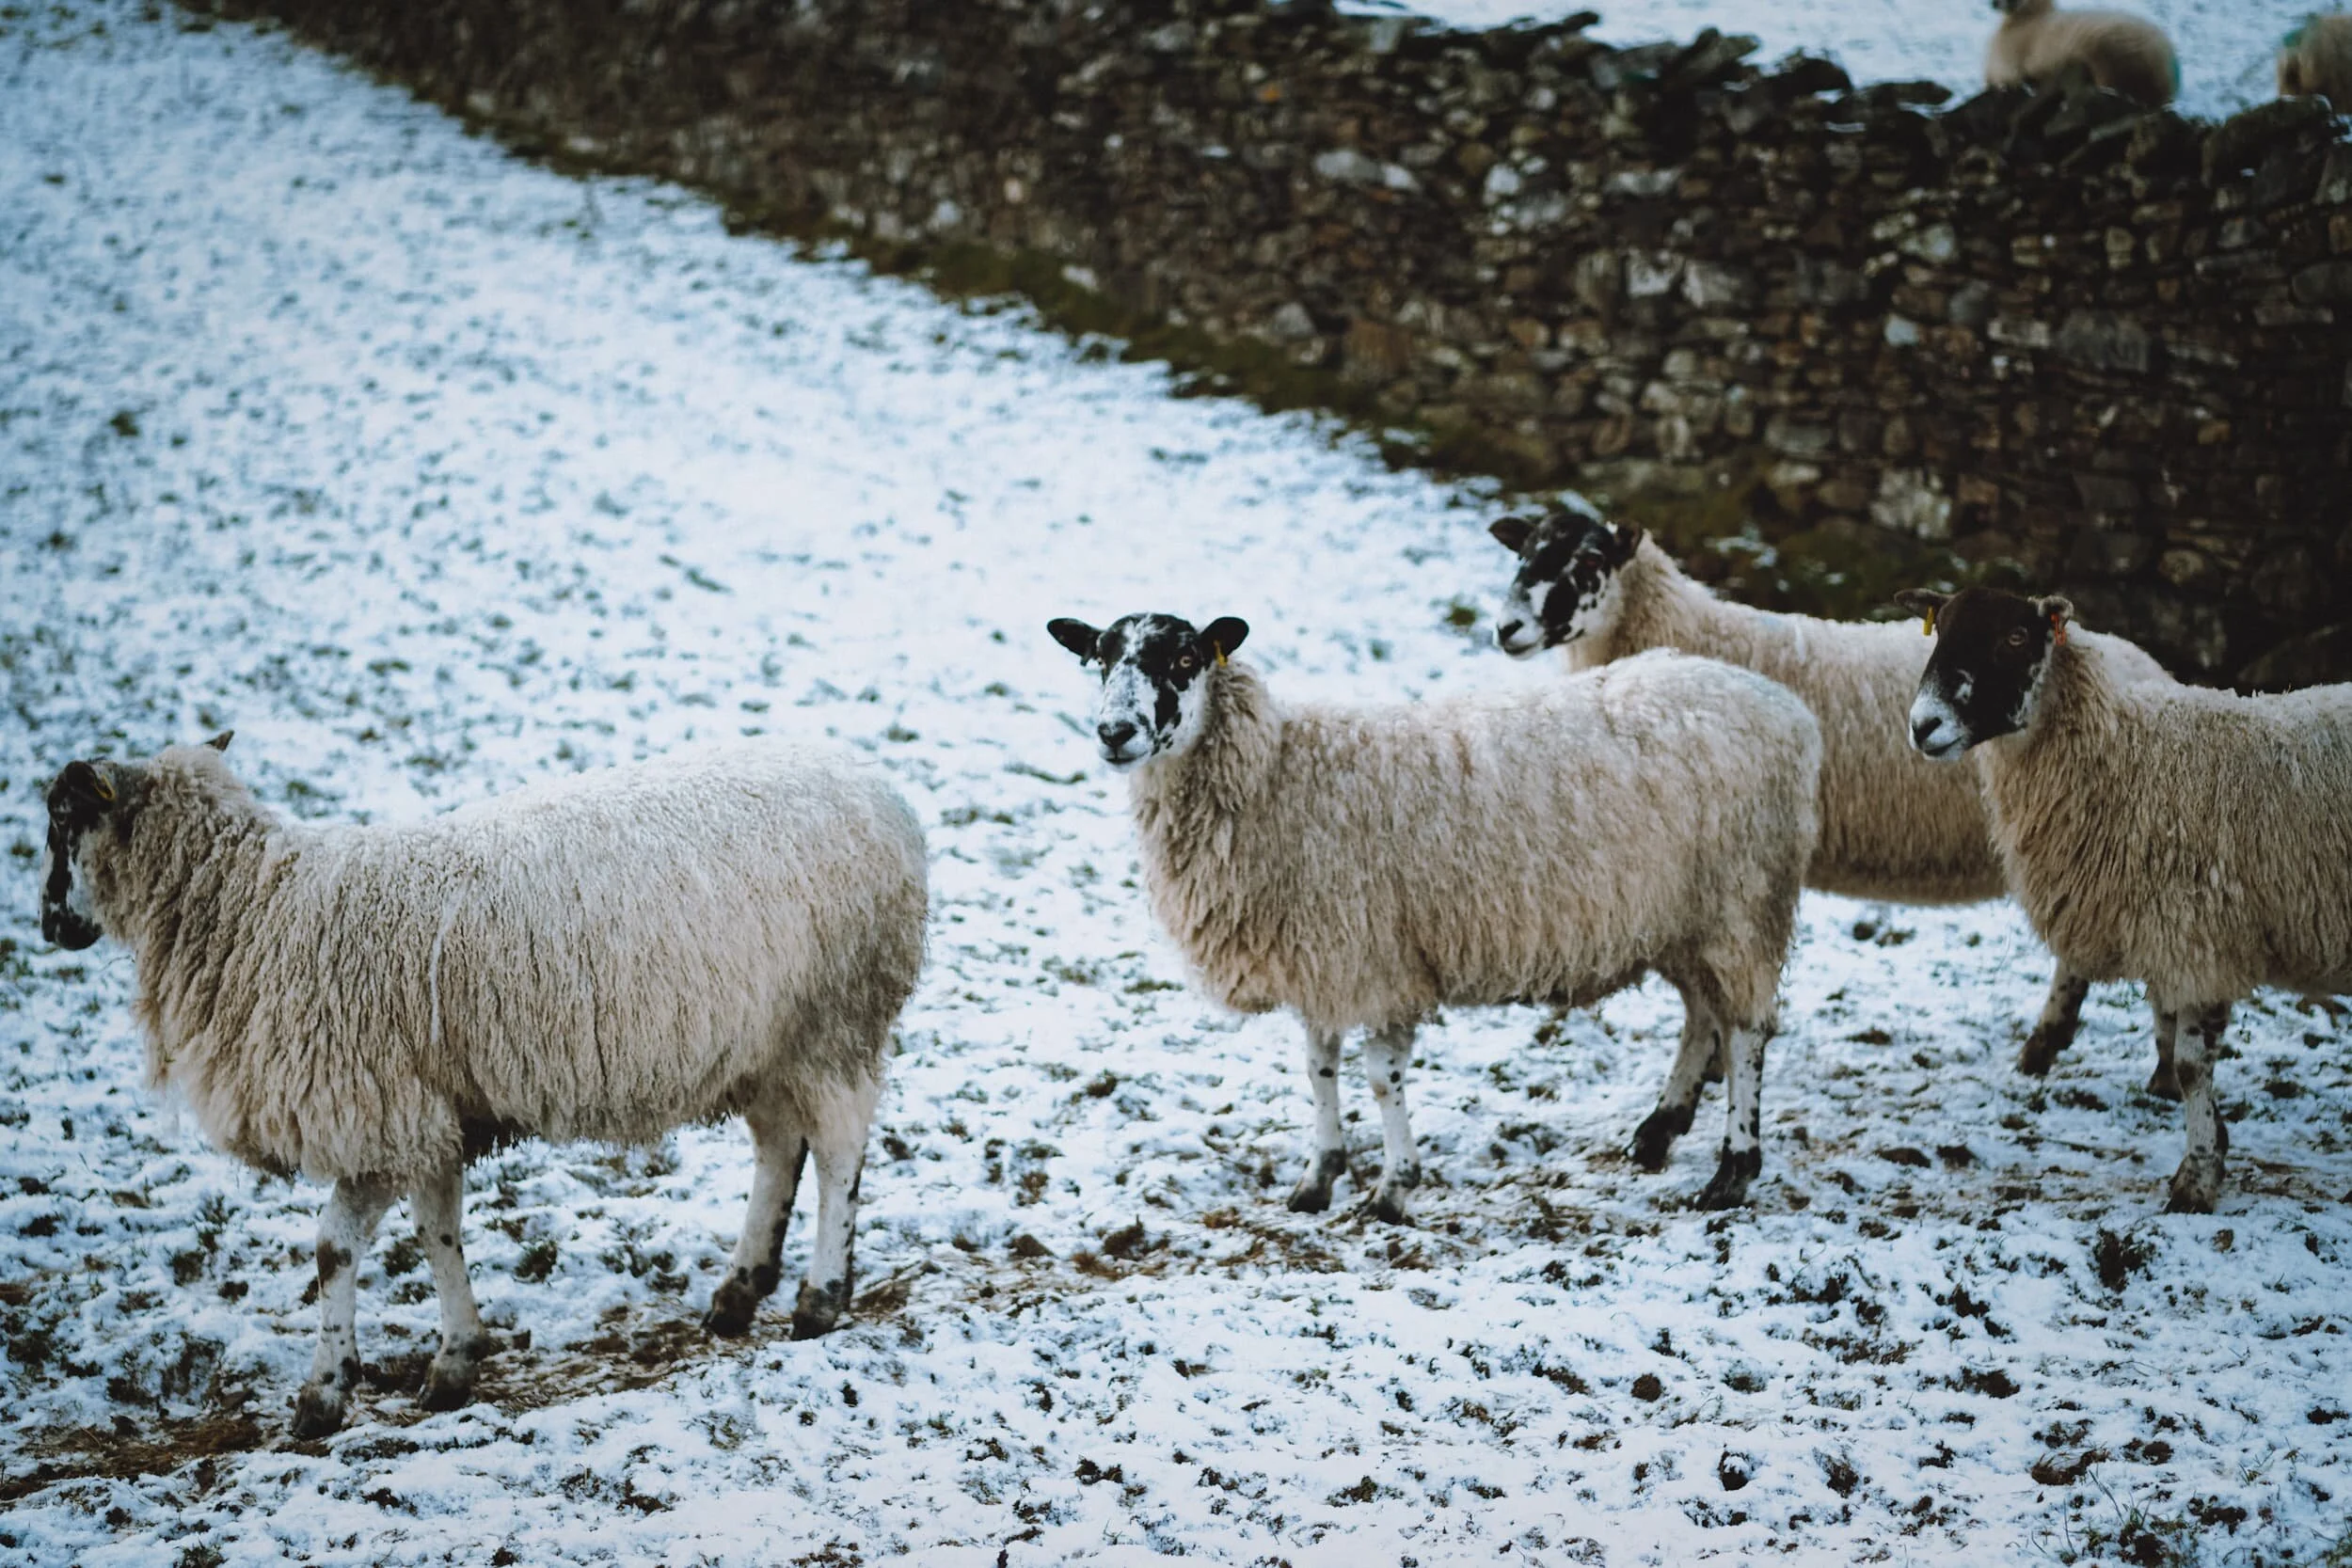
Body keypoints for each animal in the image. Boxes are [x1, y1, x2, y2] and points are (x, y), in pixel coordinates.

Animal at [39, 733, 927, 1435]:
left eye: (60, 819)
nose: (49, 924)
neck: (254, 913)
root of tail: (881, 788)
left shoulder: (379, 1117)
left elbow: (332, 1249)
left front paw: (323, 1394)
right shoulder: (428, 1116)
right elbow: (438, 1233)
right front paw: (455, 1360)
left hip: (832, 1015)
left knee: (839, 1149)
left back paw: (820, 1298)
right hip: (765, 1040)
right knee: (779, 1144)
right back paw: (741, 1289)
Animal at [1045, 611, 1820, 1217]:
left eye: (1184, 659)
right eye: (1100, 658)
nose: (1115, 732)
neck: (1277, 773)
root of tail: (1786, 708)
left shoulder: (1377, 961)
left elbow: (1379, 1076)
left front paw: (1394, 1187)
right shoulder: (1323, 958)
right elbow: (1318, 1068)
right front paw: (1317, 1177)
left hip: (1743, 901)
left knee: (1746, 1031)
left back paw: (1733, 1170)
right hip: (1685, 917)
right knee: (1703, 1015)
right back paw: (1659, 1131)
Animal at [1899, 586, 2352, 1212]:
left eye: (2015, 637)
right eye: (1939, 627)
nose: (1924, 725)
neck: (2128, 757)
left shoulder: (2199, 935)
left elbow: (2191, 1064)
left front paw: (2197, 1178)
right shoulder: (2168, 934)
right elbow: (2168, 1036)